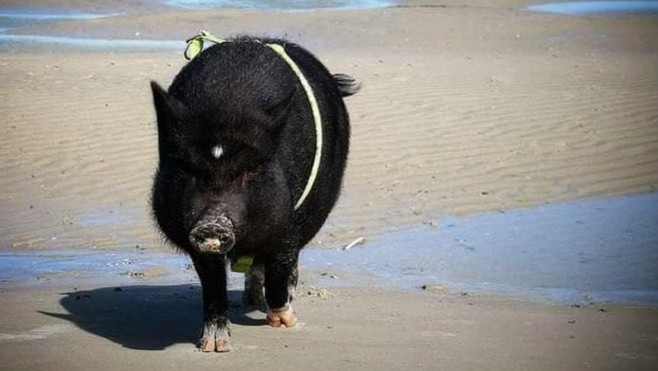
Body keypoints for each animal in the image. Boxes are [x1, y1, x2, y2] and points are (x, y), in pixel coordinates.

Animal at [149, 36, 356, 354]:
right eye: (189, 168)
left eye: (250, 170)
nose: (212, 224)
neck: (228, 111)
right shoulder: (189, 232)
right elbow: (212, 283)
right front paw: (213, 346)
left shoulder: (291, 219)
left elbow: (282, 263)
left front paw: (285, 322)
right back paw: (250, 299)